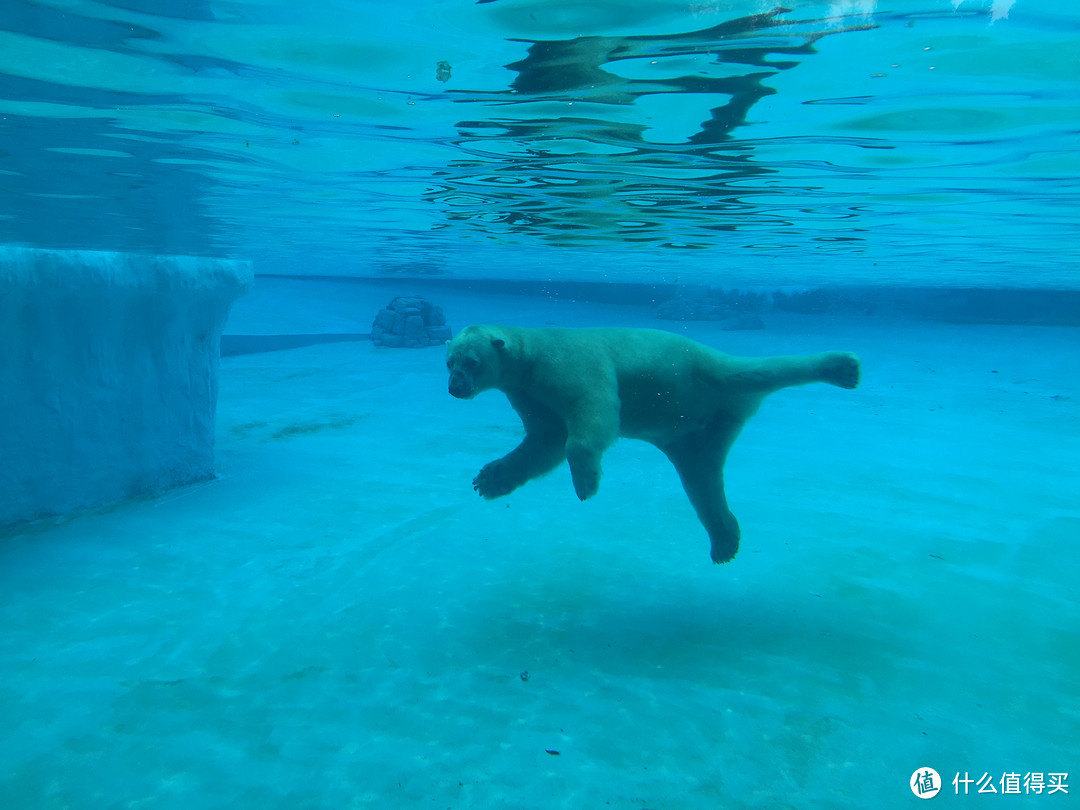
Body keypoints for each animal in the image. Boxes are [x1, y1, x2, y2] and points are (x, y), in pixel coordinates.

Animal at [442, 324, 855, 565]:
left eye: (471, 361)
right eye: (449, 362)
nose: (455, 387)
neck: (533, 352)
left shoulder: (567, 364)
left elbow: (593, 412)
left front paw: (586, 483)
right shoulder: (527, 392)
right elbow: (546, 440)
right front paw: (488, 480)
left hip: (708, 371)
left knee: (769, 369)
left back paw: (843, 367)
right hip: (691, 436)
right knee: (702, 479)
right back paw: (724, 540)